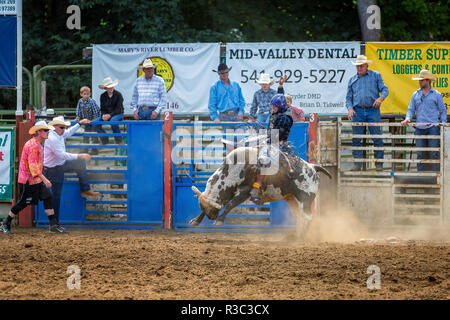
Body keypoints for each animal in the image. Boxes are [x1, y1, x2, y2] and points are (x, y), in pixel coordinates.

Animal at [190, 138, 330, 240]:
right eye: (206, 209)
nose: (212, 217)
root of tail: (312, 167)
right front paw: (195, 220)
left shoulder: (246, 191)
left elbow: (230, 204)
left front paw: (219, 220)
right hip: (292, 199)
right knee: (299, 216)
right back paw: (295, 235)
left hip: (304, 199)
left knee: (306, 217)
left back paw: (300, 237)